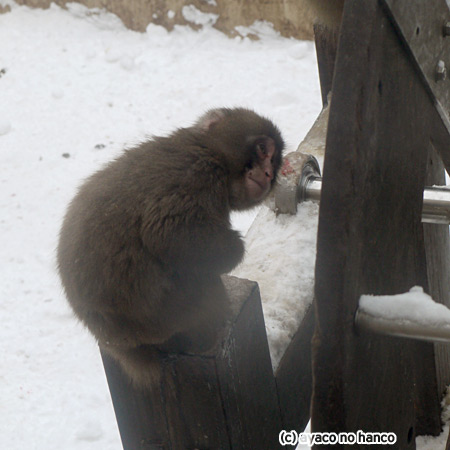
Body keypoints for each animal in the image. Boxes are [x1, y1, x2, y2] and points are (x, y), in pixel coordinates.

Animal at [58, 106, 284, 386]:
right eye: (263, 149)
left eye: (274, 162)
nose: (268, 173)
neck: (209, 149)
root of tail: (116, 342)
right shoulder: (200, 172)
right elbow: (168, 234)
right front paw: (235, 249)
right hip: (169, 313)